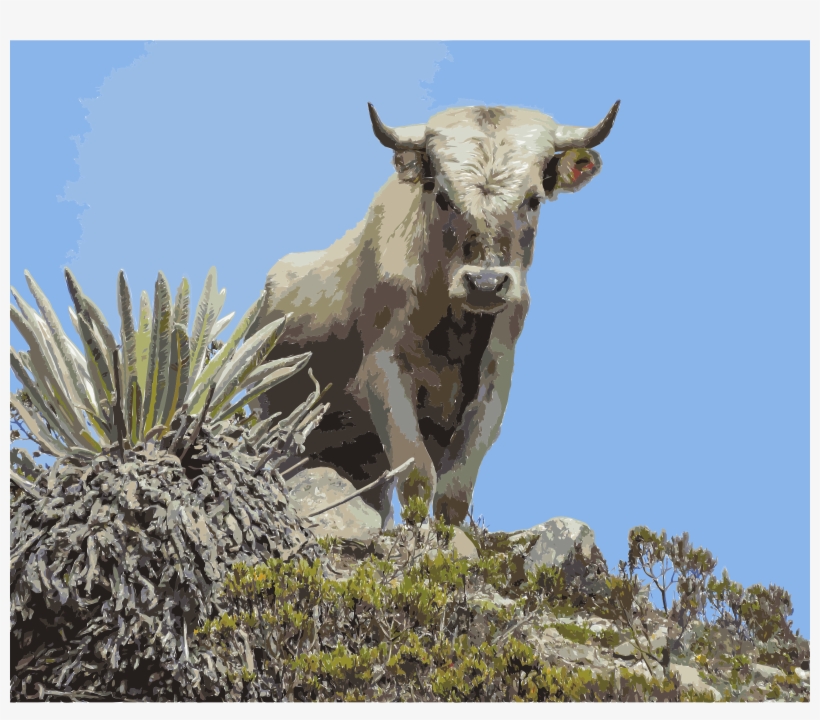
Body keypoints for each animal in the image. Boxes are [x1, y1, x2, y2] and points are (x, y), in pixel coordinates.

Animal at [251, 101, 620, 526]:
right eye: (444, 198)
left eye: (534, 199)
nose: (486, 283)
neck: (455, 327)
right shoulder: (383, 370)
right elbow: (417, 477)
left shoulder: (495, 380)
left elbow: (454, 491)